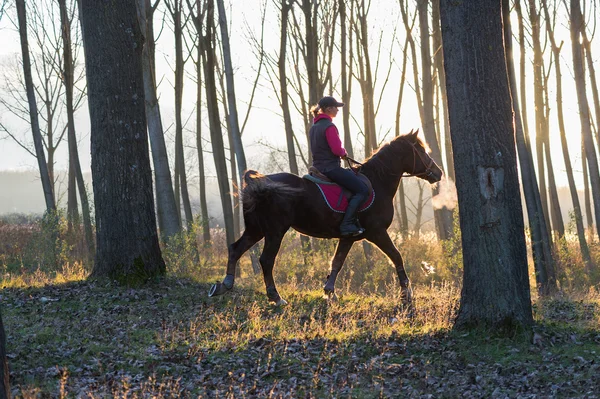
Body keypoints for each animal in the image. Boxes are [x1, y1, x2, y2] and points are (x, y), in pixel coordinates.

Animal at [209, 130, 442, 308]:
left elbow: (337, 262)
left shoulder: (348, 237)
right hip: (274, 232)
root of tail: (259, 184)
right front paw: (406, 295)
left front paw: (329, 292)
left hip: (255, 229)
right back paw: (276, 297)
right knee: (266, 260)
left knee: (235, 249)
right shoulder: (377, 232)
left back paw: (224, 285)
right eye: (421, 150)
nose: (438, 173)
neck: (378, 182)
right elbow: (396, 256)